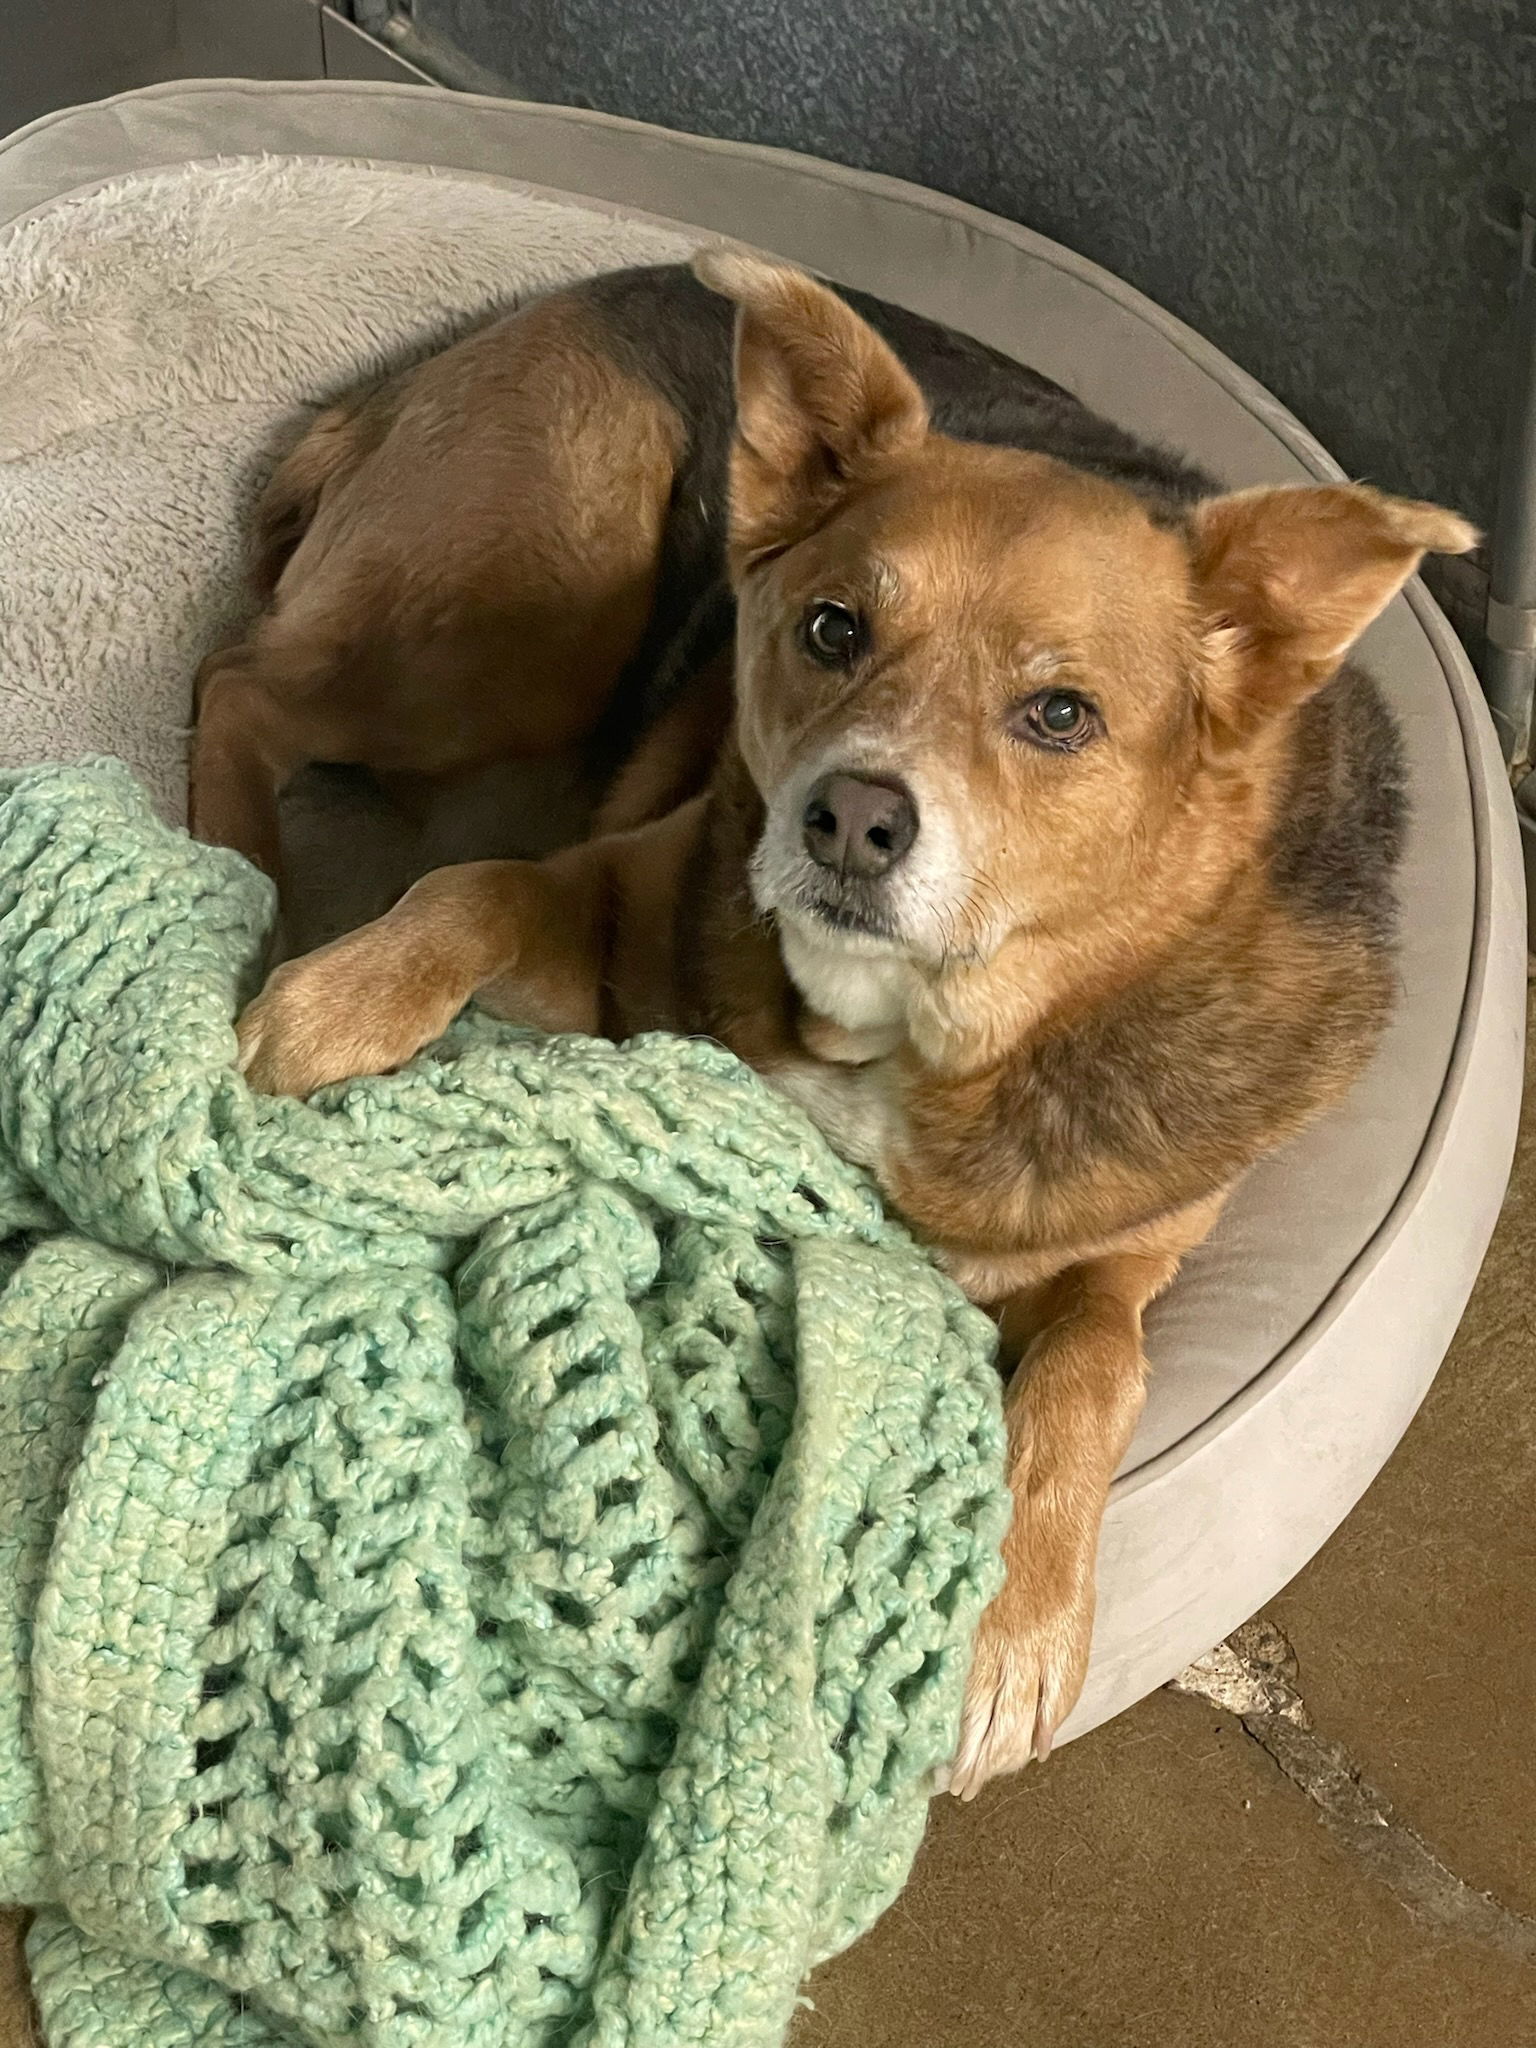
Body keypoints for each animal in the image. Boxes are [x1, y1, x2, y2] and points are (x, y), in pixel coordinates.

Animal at [192, 251, 1482, 1794]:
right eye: (832, 629)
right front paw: (329, 1010)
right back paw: (239, 871)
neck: (912, 1028)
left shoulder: (1131, 1253)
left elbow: (1093, 1364)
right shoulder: (627, 886)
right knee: (243, 690)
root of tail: (516, 320)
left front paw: (1014, 1625)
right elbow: (475, 885)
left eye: (1061, 713)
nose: (850, 819)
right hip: (535, 611)